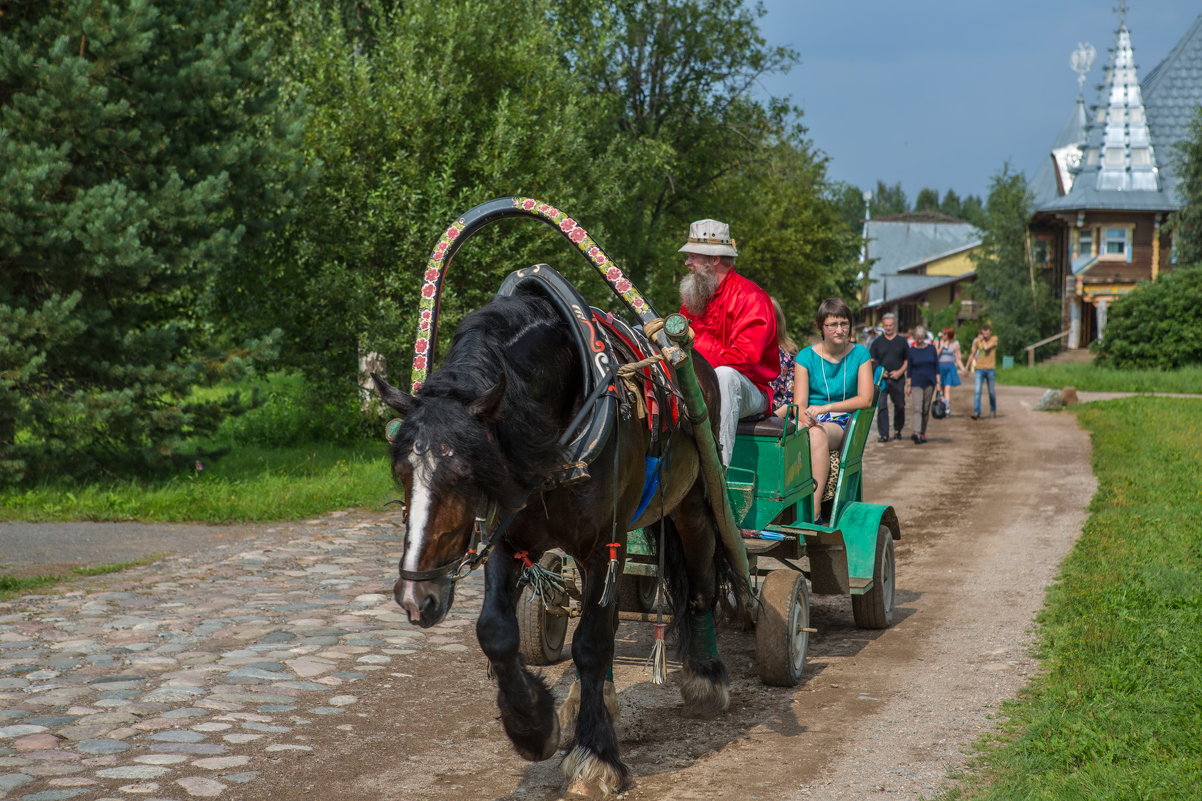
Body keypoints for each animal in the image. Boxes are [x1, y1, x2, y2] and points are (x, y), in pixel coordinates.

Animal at [370, 285, 735, 793]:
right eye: (403, 471)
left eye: (467, 474)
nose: (415, 596)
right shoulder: (506, 538)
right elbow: (496, 632)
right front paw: (533, 726)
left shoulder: (605, 542)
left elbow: (591, 644)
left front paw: (595, 755)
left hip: (691, 503)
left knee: (700, 584)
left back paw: (706, 677)